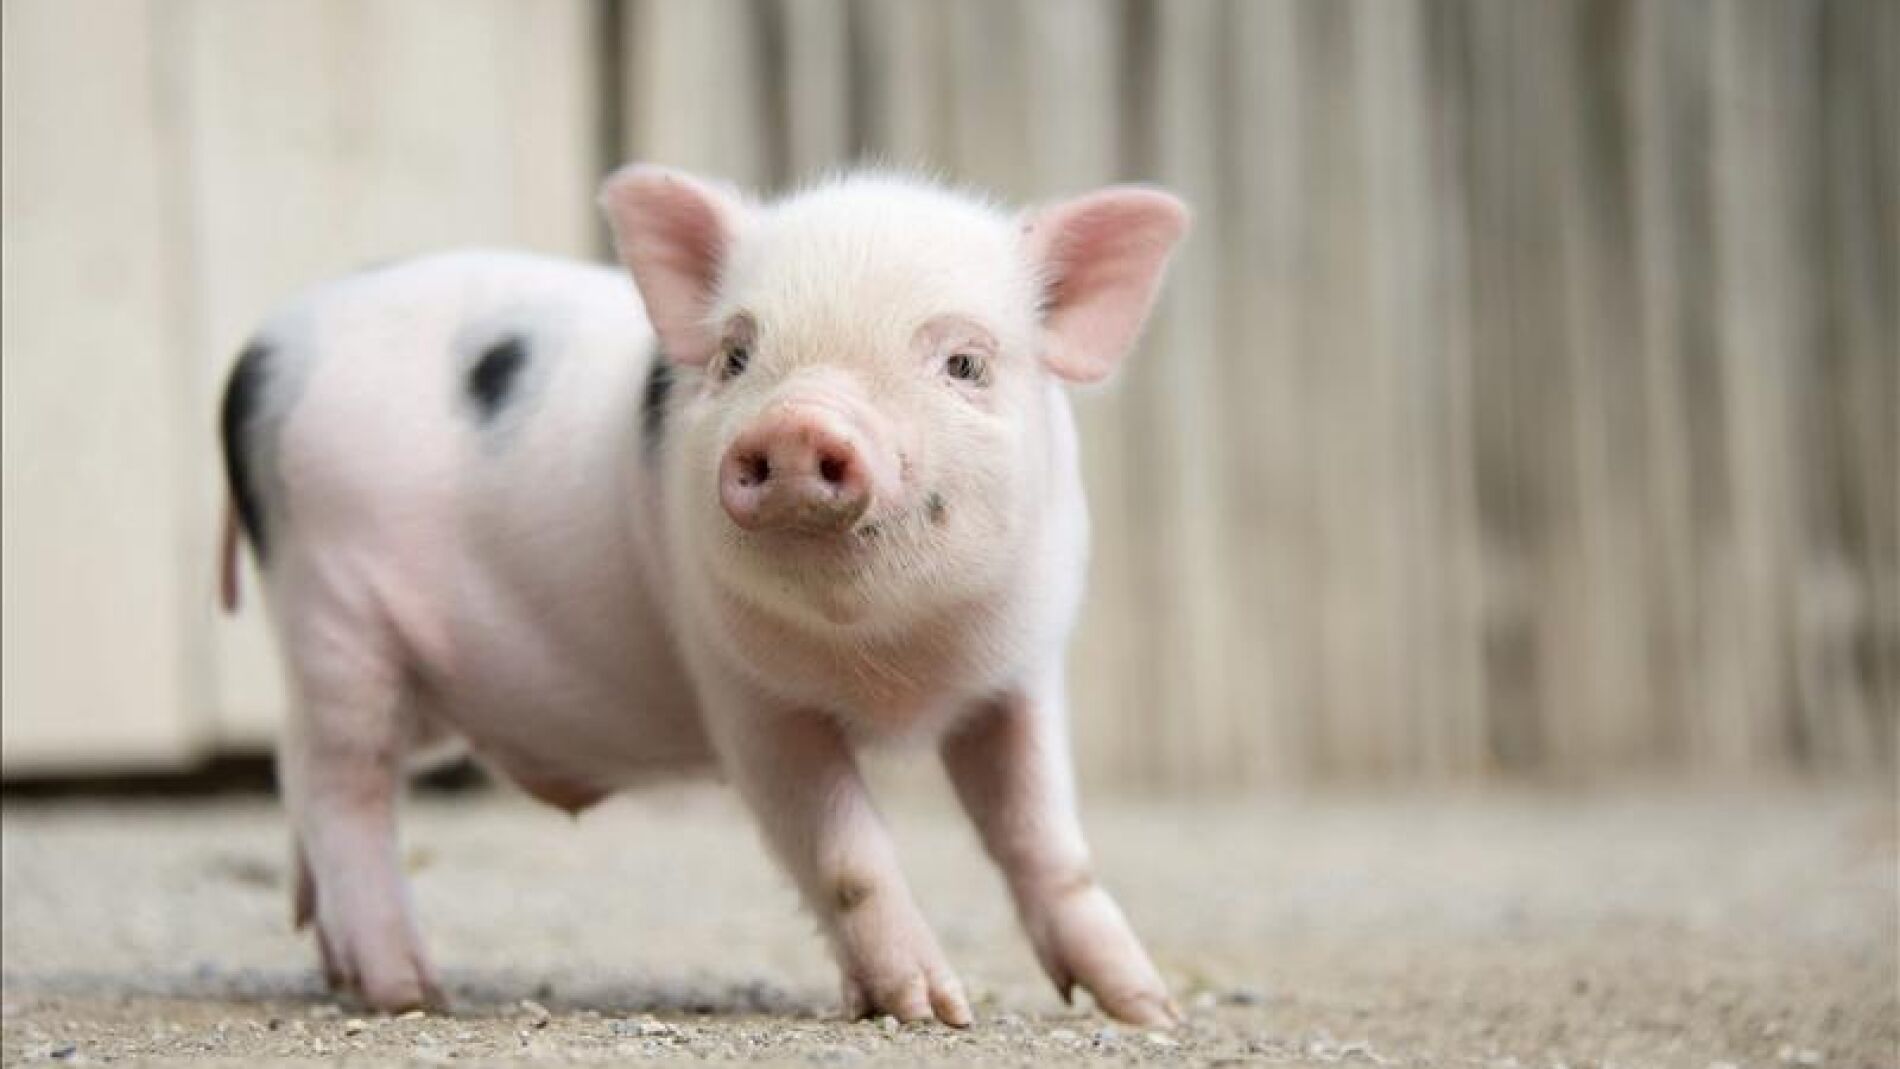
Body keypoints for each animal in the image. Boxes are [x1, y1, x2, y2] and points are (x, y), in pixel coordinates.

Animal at [217, 164, 1189, 1027]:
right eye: (738, 354)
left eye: (962, 362)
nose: (796, 421)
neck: (890, 661)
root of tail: (256, 354)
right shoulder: (745, 690)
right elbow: (844, 851)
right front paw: (931, 1008)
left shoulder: (1019, 671)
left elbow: (1043, 838)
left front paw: (1148, 1007)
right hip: (332, 608)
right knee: (337, 777)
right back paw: (408, 991)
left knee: (311, 765)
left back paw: (338, 958)